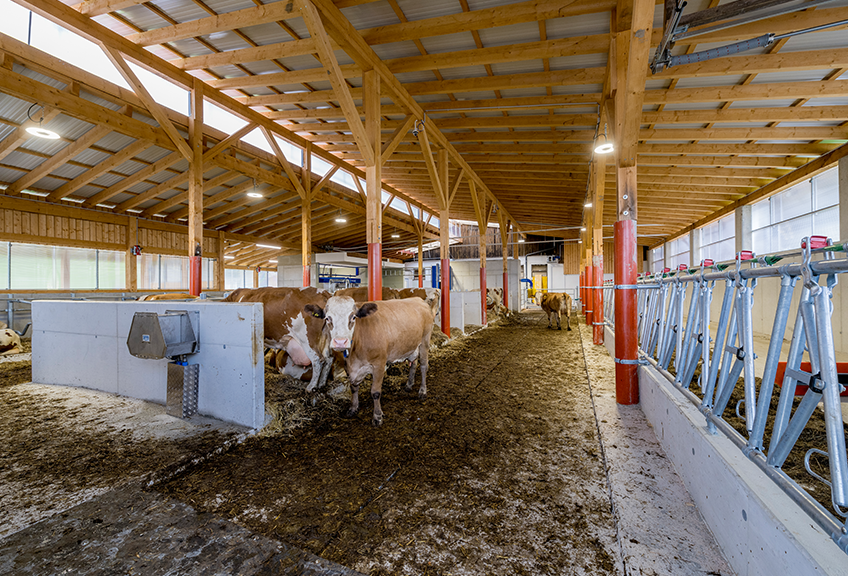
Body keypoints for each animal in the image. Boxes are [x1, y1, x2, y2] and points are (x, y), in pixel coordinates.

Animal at [304, 296, 434, 428]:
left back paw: (422, 391)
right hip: (412, 347)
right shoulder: (349, 367)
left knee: (424, 366)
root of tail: (417, 299)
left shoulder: (379, 364)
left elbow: (375, 392)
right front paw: (353, 408)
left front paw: (377, 417)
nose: (340, 342)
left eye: (353, 317)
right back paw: (409, 385)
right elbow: (353, 388)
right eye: (327, 318)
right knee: (414, 363)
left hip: (425, 341)